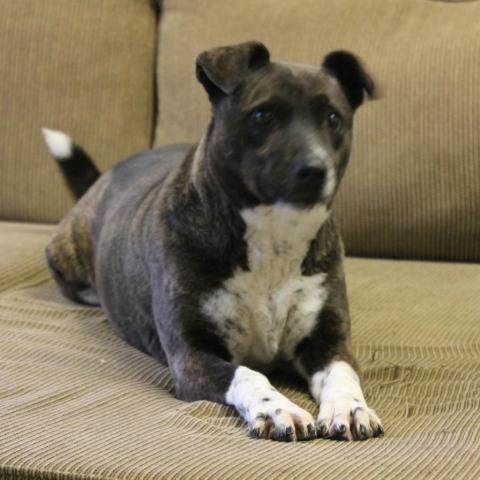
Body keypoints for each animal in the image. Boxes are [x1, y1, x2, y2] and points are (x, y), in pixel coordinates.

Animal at [43, 41, 384, 442]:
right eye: (262, 114)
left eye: (333, 117)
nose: (315, 169)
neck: (274, 236)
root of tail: (104, 176)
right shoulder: (192, 356)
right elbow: (248, 374)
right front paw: (277, 408)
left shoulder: (329, 341)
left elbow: (342, 374)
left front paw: (350, 407)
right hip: (64, 256)